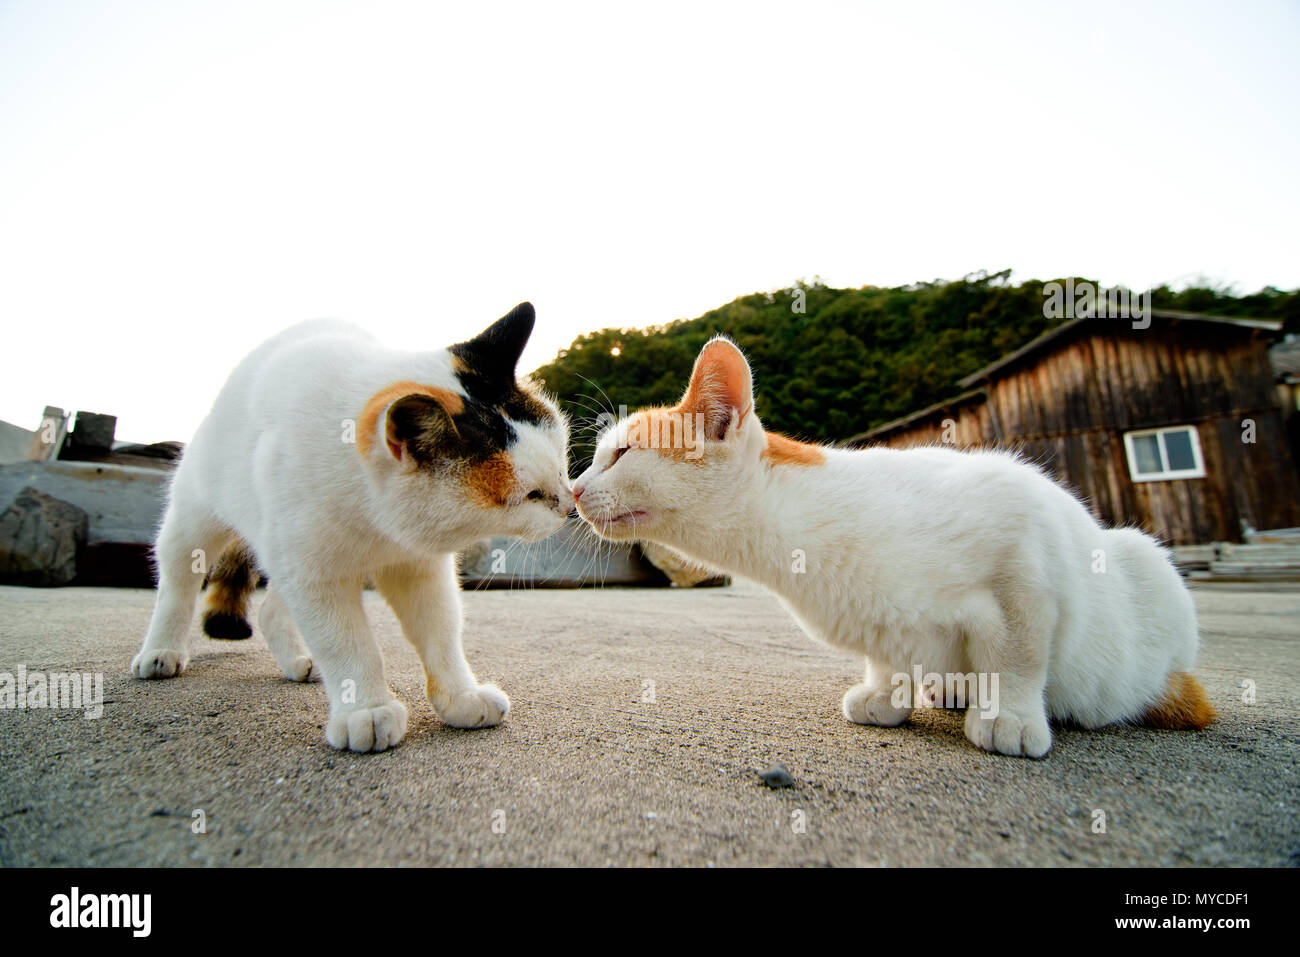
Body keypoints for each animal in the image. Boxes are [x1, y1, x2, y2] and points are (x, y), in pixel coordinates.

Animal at [130, 302, 569, 748]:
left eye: (560, 460)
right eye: (531, 495)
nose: (569, 505)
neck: (377, 519)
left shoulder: (417, 566)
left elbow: (442, 633)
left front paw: (461, 697)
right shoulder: (314, 574)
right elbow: (347, 643)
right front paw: (367, 710)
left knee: (270, 610)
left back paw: (296, 662)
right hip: (195, 523)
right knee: (178, 586)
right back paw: (161, 651)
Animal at [574, 335, 1211, 754]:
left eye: (622, 454)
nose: (575, 488)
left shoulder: (1021, 543)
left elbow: (1018, 655)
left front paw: (1007, 713)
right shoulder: (880, 622)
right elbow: (887, 654)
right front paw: (887, 693)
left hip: (1142, 558)